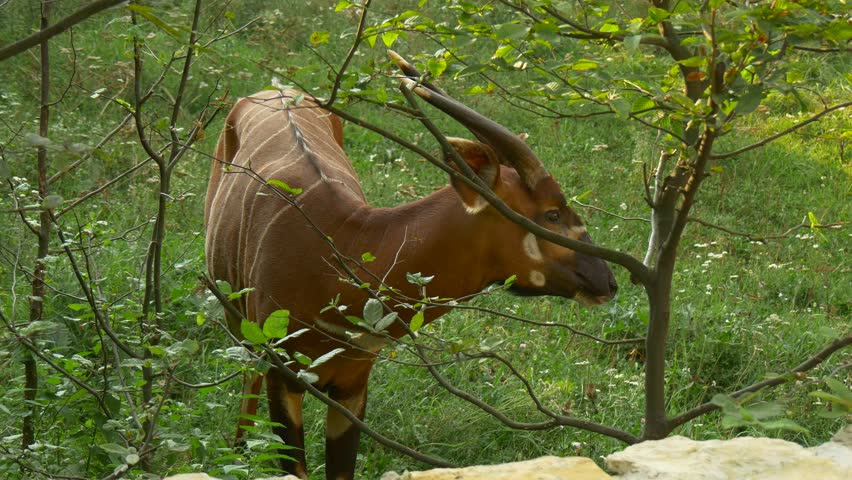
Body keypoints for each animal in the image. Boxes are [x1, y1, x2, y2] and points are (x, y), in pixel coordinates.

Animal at [204, 52, 617, 480]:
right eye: (552, 213)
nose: (608, 281)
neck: (342, 243)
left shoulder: (352, 386)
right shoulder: (284, 375)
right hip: (236, 314)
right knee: (246, 372)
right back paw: (238, 450)